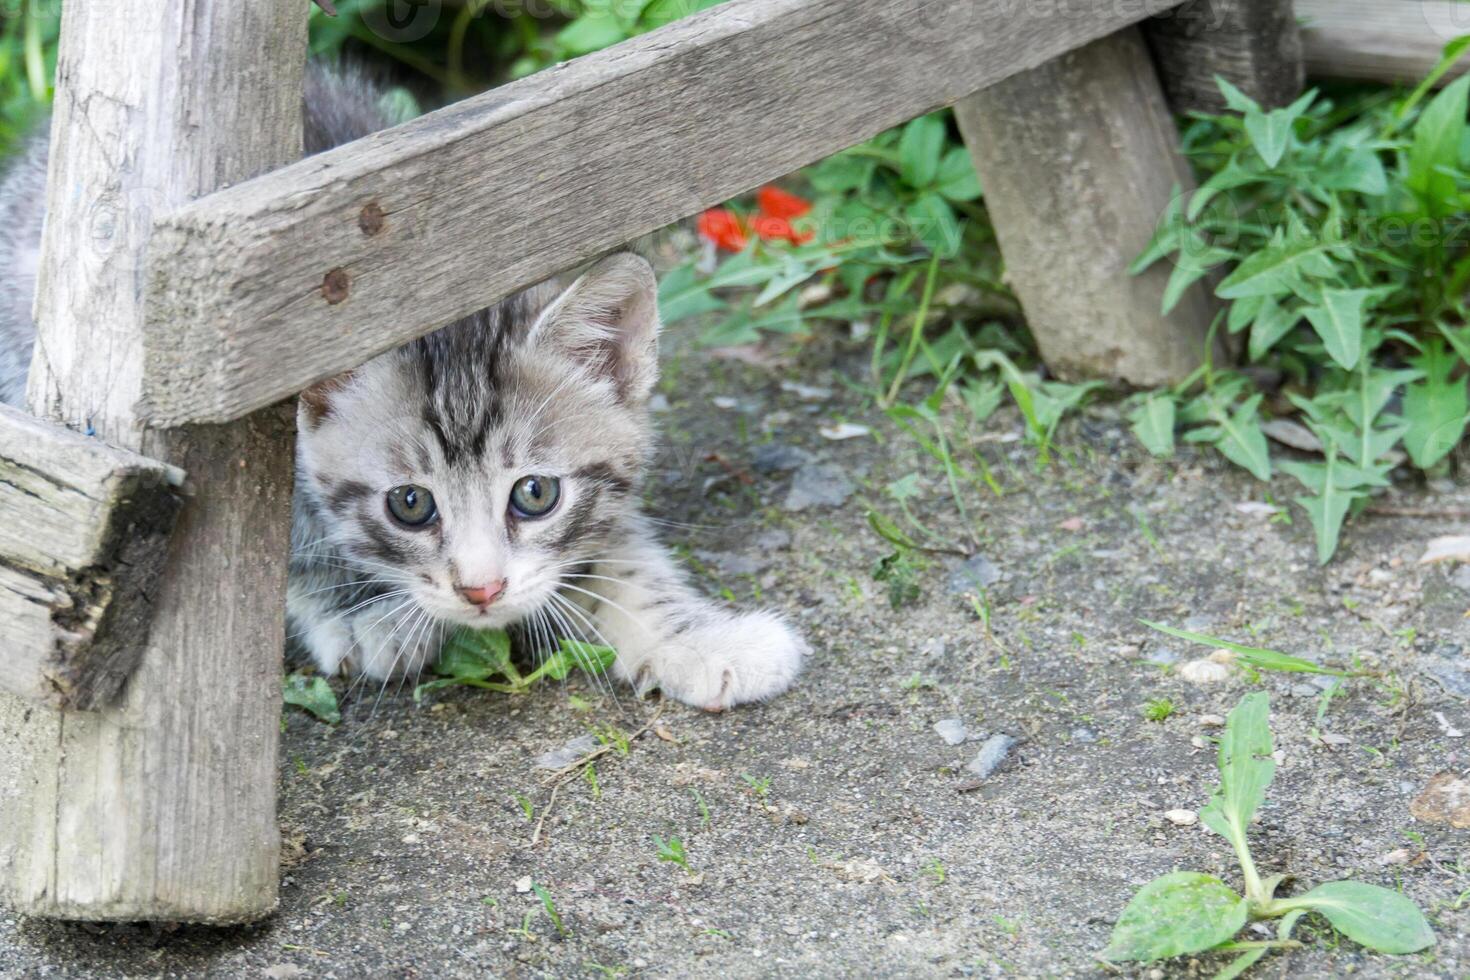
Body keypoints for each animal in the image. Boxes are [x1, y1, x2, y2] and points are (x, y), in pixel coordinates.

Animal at [0, 63, 805, 714]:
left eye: (535, 494)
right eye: (410, 505)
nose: (480, 591)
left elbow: (623, 552)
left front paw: (703, 640)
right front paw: (358, 607)